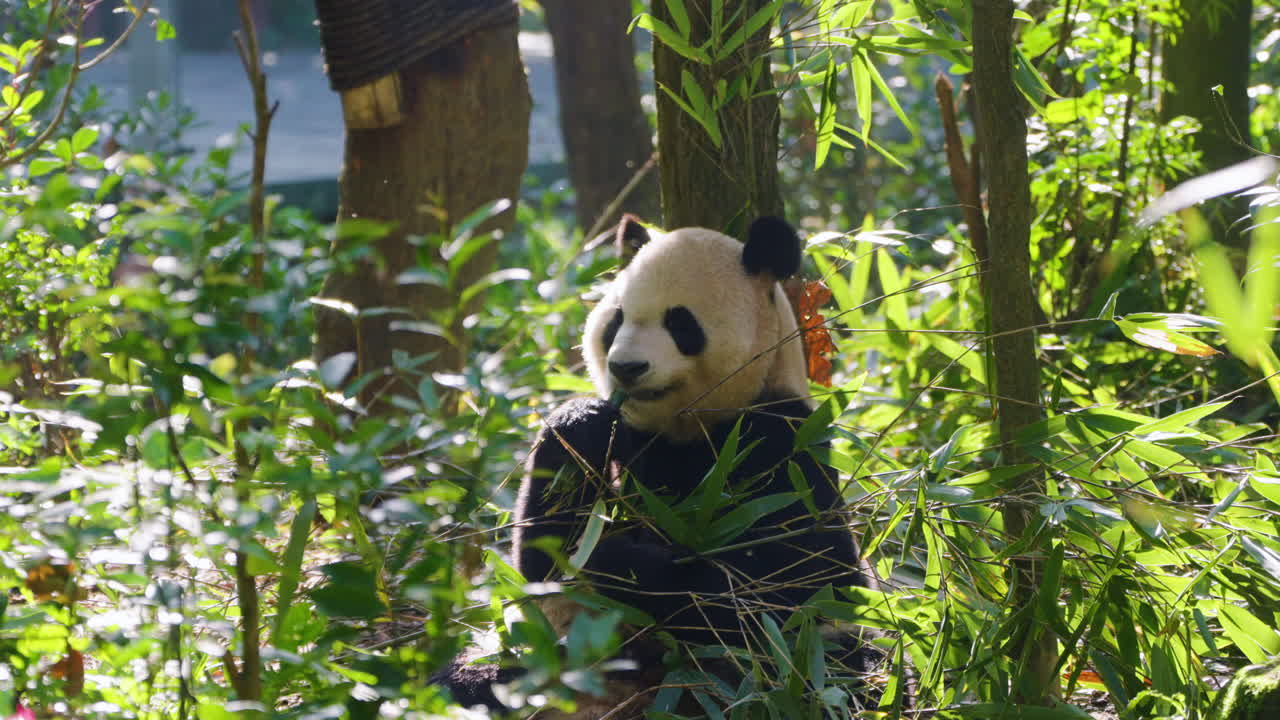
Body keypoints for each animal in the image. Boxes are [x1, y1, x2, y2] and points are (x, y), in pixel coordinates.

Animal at [437, 216, 874, 717]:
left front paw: (621, 560)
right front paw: (581, 420)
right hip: (528, 654)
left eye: (680, 323)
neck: (685, 429)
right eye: (616, 321)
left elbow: (795, 582)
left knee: (820, 673)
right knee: (470, 679)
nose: (626, 367)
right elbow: (541, 558)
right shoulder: (632, 445)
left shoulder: (783, 441)